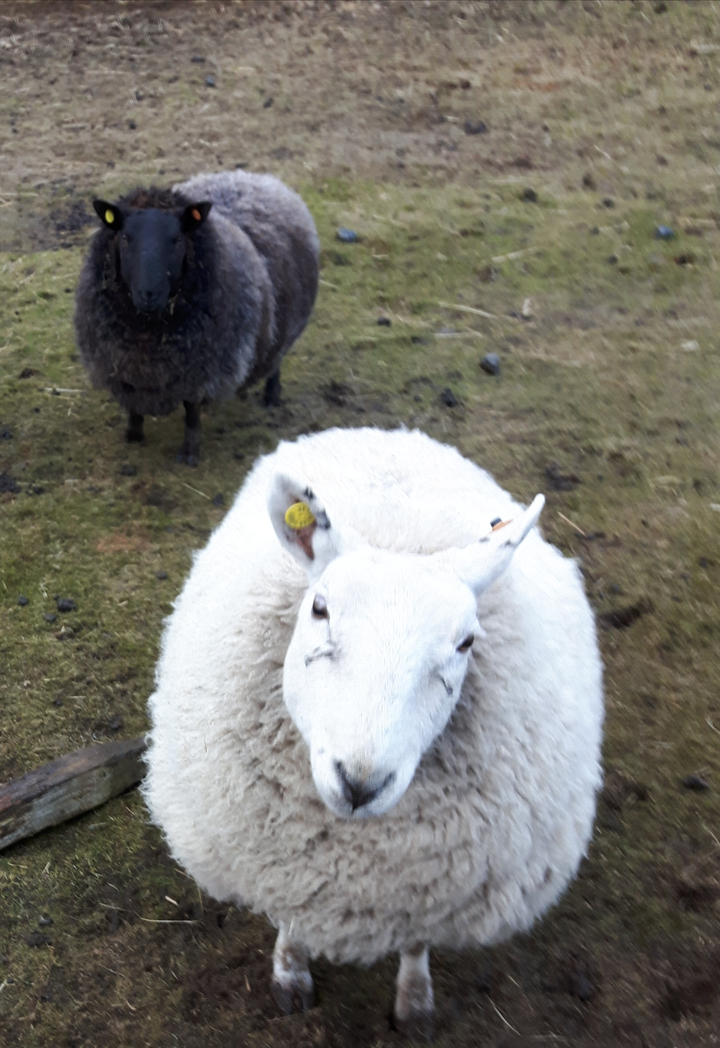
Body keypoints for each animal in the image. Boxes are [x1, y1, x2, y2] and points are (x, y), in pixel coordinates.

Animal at [74, 170, 319, 464]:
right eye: (125, 237)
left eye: (177, 239)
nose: (149, 293)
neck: (148, 333)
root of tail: (257, 177)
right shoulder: (122, 364)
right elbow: (133, 403)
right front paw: (133, 434)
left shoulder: (200, 369)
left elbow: (191, 411)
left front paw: (189, 453)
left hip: (285, 323)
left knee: (276, 359)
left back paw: (271, 395)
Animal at [143, 426, 604, 1035]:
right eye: (318, 607)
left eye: (466, 642)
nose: (360, 783)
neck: (354, 870)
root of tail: (390, 432)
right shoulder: (283, 868)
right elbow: (292, 916)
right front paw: (291, 973)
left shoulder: (426, 891)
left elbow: (415, 943)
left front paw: (414, 1003)